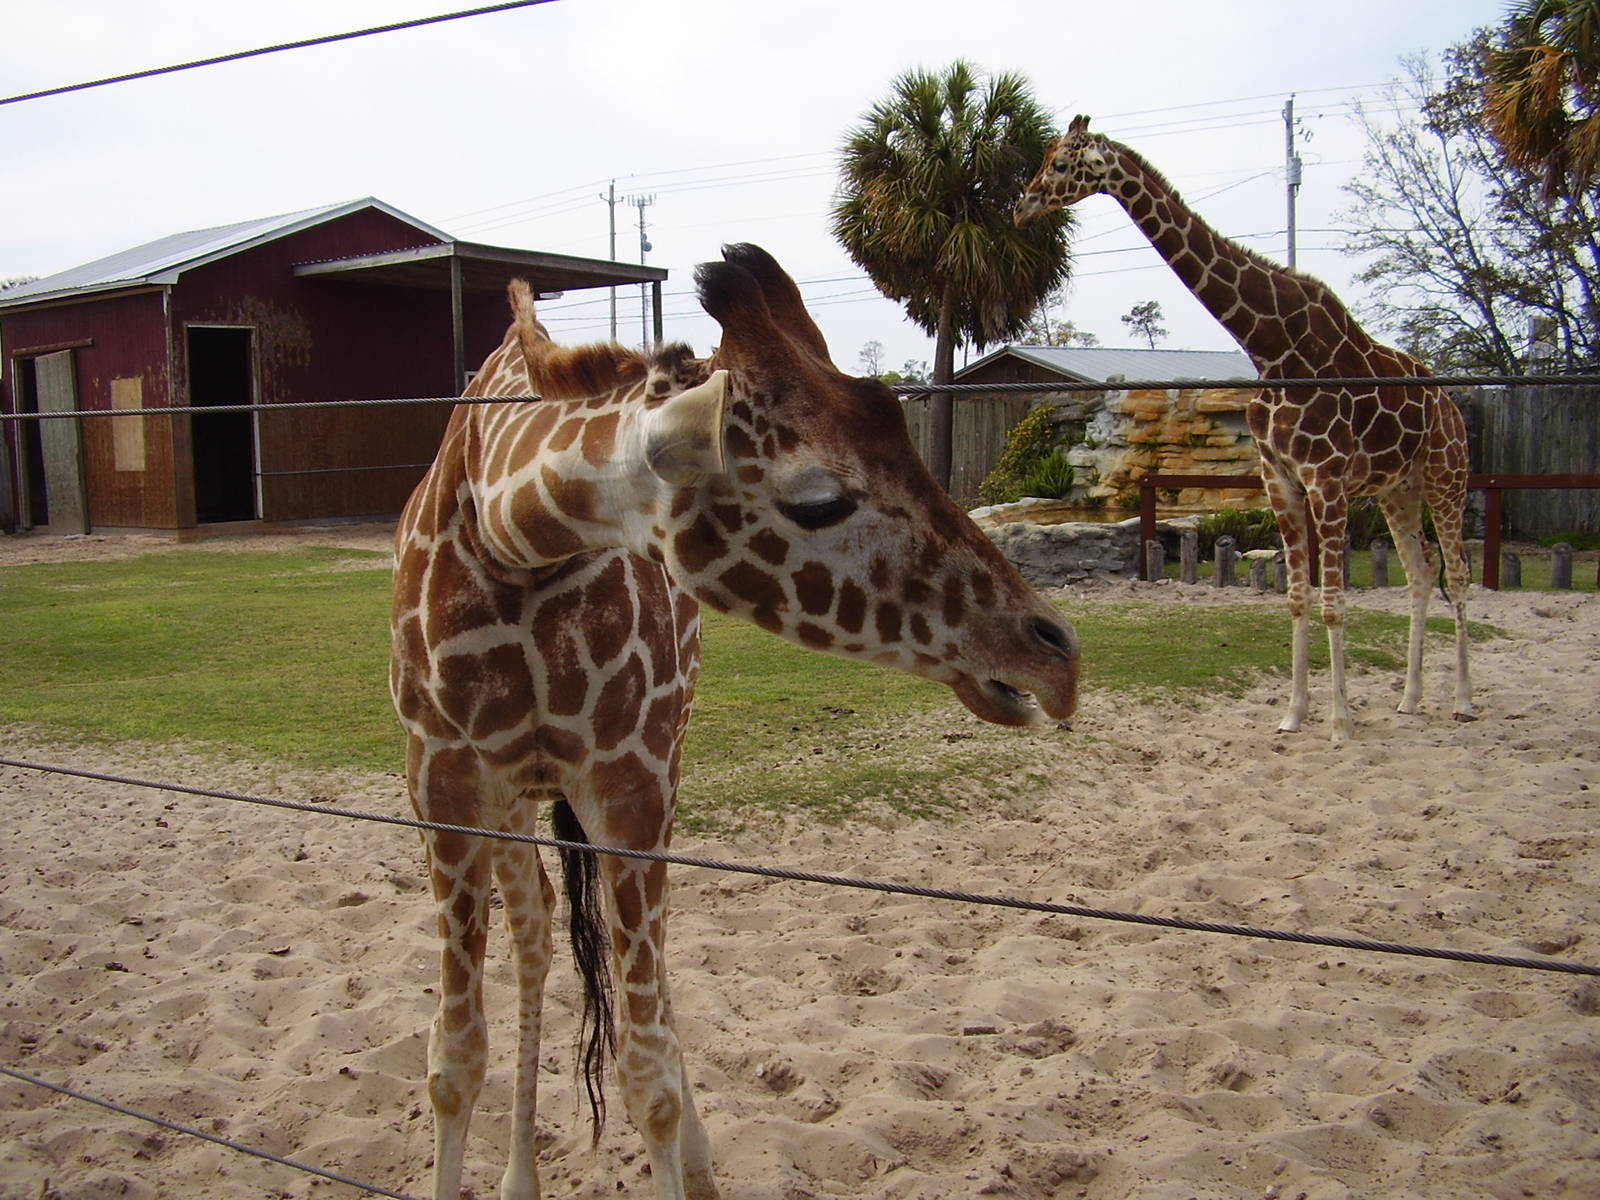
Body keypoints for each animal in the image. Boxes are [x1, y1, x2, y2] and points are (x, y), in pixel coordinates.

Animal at [389, 242, 1080, 1200]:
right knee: (535, 927)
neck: (508, 534)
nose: (1054, 655)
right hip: (515, 796)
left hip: (652, 765)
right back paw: (520, 1179)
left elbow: (647, 1074)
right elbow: (452, 1060)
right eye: (819, 500)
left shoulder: (631, 778)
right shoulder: (442, 779)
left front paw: (683, 1149)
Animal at [1014, 114, 1473, 742]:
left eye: (1060, 164)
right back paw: (1409, 698)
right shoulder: (1280, 478)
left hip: (1448, 478)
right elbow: (1298, 597)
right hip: (1397, 490)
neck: (1272, 348)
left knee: (1461, 573)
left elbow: (1332, 601)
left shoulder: (1327, 480)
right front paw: (1294, 714)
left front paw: (1340, 723)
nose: (1023, 206)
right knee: (1423, 574)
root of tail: (1450, 403)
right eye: (1042, 159)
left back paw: (1464, 702)